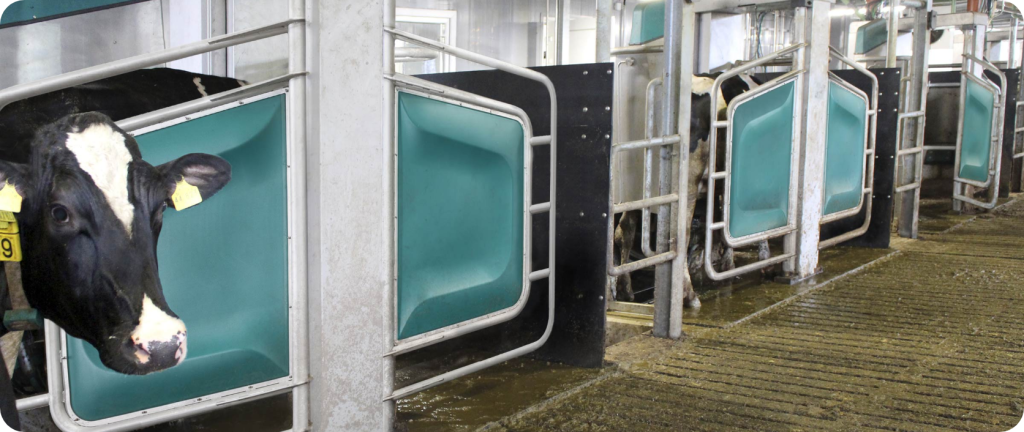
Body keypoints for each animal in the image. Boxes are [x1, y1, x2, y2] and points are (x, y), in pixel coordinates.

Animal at [606, 71, 761, 307]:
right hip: (687, 182)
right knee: (679, 234)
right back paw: (689, 295)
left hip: (634, 187)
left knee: (624, 231)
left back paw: (624, 290)